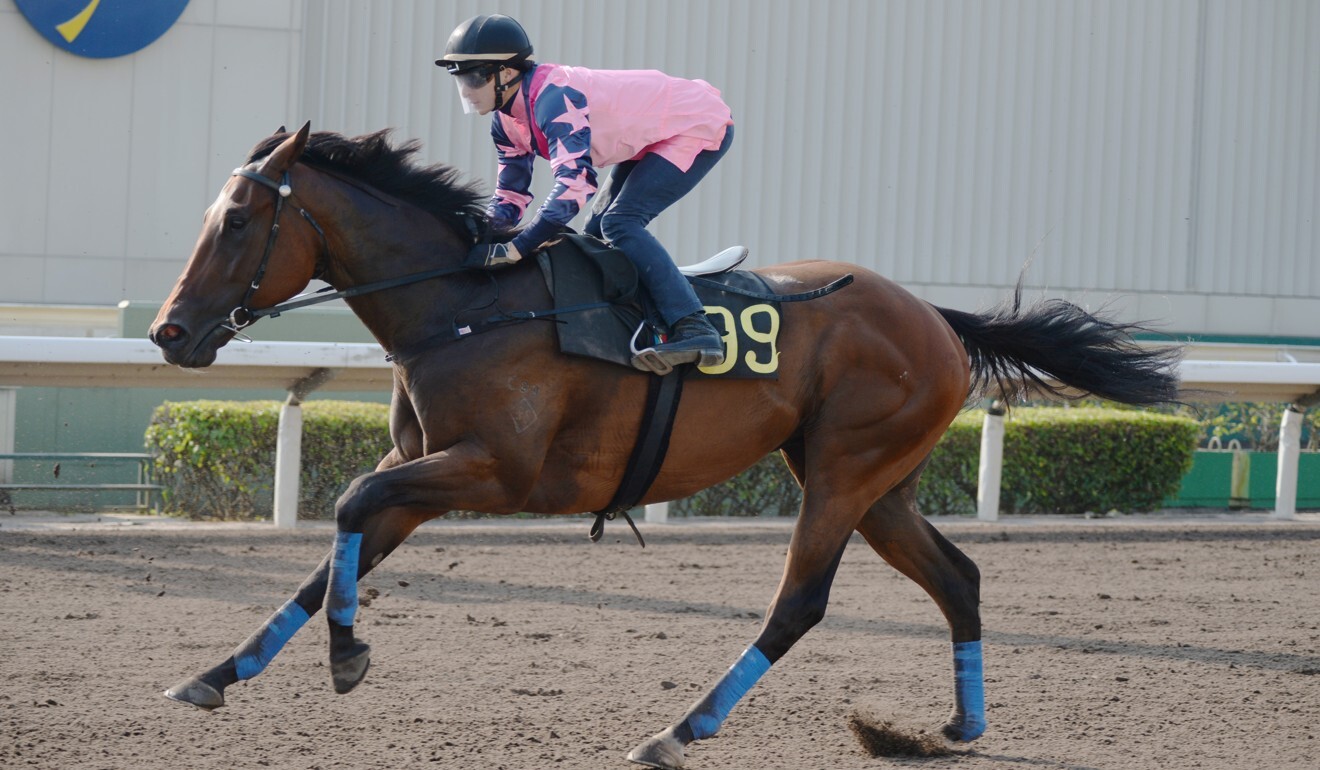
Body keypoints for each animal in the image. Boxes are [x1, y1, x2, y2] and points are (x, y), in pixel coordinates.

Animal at [149, 123, 1182, 766]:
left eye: (236, 221)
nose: (169, 333)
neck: (467, 305)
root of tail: (934, 314)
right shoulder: (421, 471)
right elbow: (333, 551)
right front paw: (217, 674)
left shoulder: (493, 473)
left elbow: (347, 505)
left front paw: (345, 657)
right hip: (877, 481)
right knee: (958, 577)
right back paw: (959, 727)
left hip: (843, 472)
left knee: (799, 603)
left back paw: (680, 731)